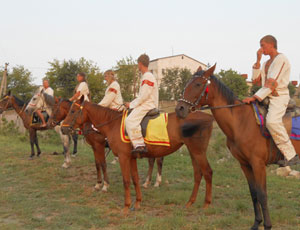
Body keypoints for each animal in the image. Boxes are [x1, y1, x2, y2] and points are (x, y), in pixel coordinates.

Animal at [59, 96, 213, 214]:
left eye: (73, 111)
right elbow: (135, 179)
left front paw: (126, 206)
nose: (63, 128)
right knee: (198, 174)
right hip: (193, 152)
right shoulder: (131, 158)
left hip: (198, 152)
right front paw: (137, 203)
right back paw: (190, 202)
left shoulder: (121, 157)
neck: (113, 123)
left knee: (207, 172)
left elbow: (126, 181)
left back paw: (206, 204)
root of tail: (208, 117)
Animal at [176, 64, 300, 230]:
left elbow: (262, 194)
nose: (180, 109)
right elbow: (254, 193)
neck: (240, 121)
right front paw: (256, 223)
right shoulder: (245, 164)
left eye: (198, 84)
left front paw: (267, 225)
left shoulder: (258, 164)